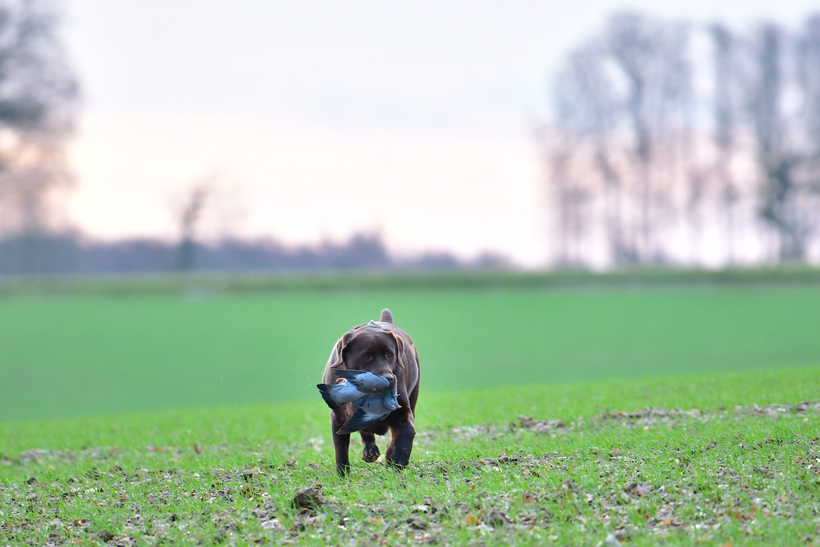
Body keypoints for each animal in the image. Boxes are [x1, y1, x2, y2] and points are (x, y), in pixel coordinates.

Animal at [324, 308, 420, 476]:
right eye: (366, 356)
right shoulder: (337, 418)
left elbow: (407, 432)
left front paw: (398, 459)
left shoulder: (403, 412)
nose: (389, 379)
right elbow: (340, 450)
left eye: (390, 354)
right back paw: (370, 450)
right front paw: (343, 474)